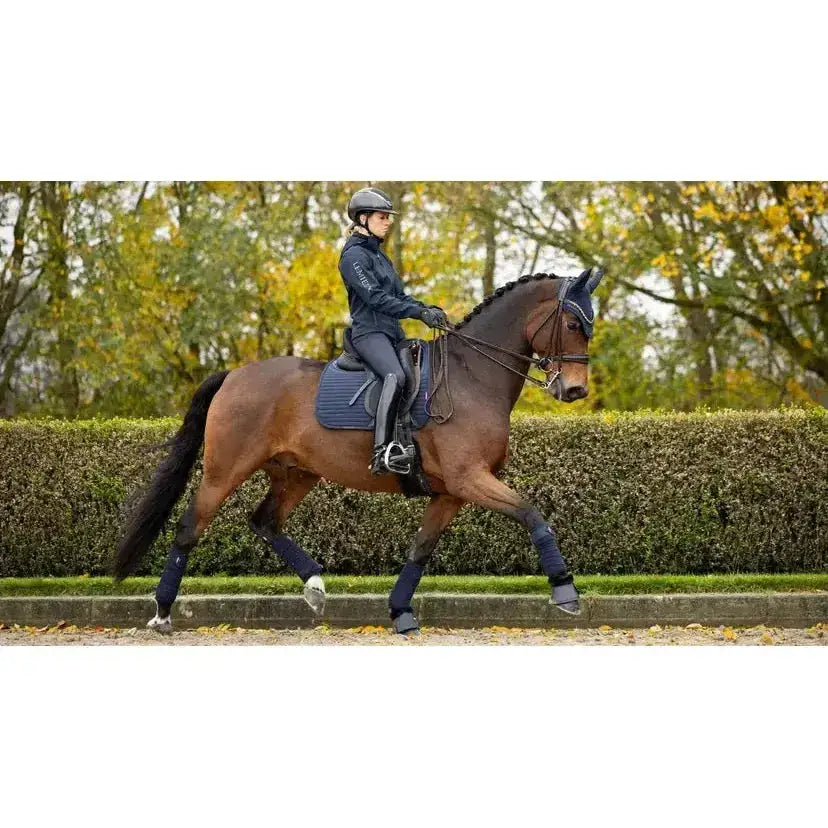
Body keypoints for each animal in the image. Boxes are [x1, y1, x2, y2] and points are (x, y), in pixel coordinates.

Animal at [113, 266, 604, 634]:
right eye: (572, 324)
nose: (575, 390)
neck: (472, 377)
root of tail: (234, 374)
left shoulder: (451, 492)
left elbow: (420, 550)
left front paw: (401, 613)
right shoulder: (470, 478)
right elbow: (532, 514)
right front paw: (565, 591)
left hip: (297, 473)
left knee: (265, 521)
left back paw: (314, 585)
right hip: (225, 470)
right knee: (189, 529)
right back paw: (162, 613)